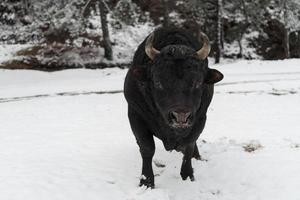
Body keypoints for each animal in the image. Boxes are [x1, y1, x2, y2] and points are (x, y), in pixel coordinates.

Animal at [123, 27, 224, 188]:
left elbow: (189, 145)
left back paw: (197, 157)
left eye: (197, 82)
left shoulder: (200, 119)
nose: (180, 116)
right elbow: (147, 148)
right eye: (158, 81)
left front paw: (187, 175)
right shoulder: (135, 115)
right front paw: (146, 181)